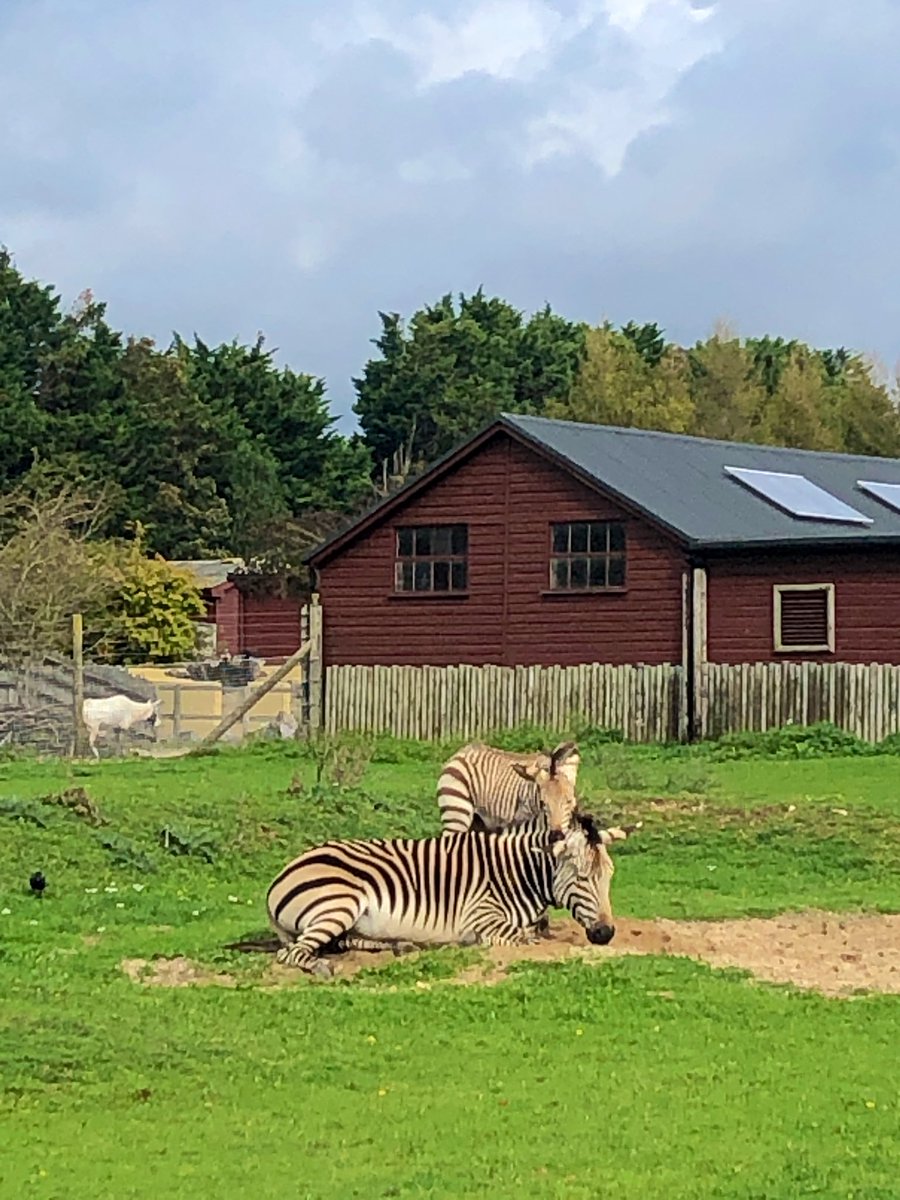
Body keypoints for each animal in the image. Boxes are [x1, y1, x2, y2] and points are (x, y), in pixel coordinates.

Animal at [436, 740, 582, 835]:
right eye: (542, 802)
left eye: (569, 801)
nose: (556, 835)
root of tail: (461, 753)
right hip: (456, 813)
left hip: (478, 821)